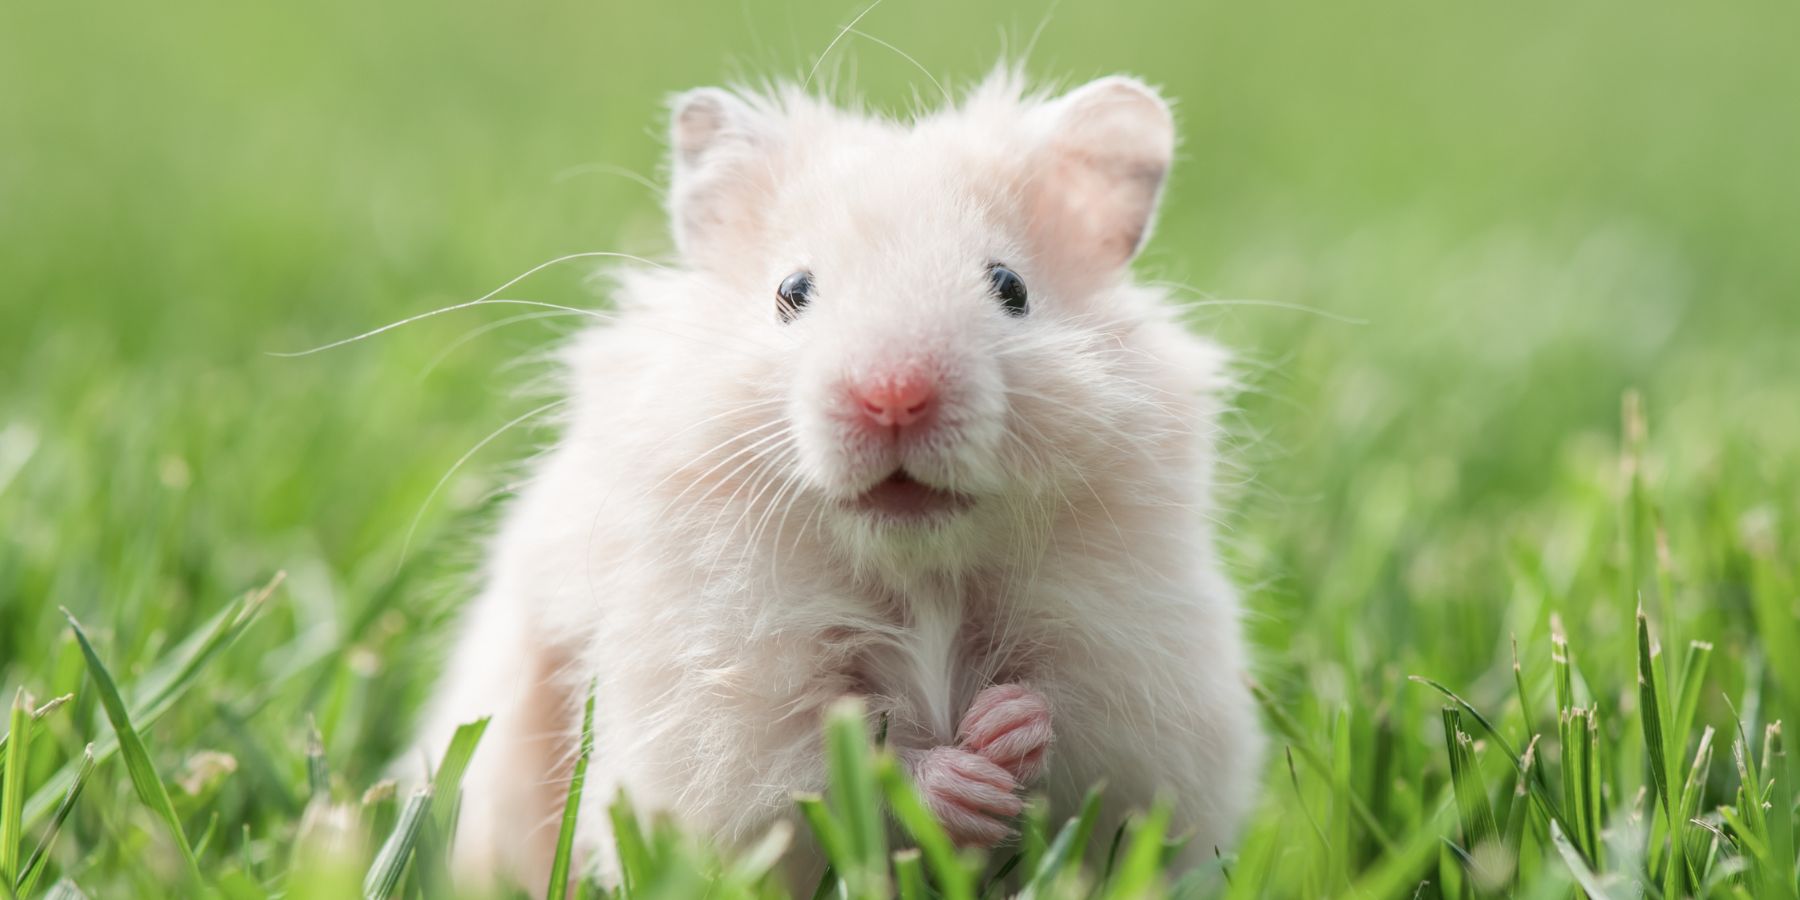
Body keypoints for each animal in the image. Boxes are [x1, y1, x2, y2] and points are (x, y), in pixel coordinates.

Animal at [415, 68, 1265, 892]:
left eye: (1010, 287)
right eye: (792, 291)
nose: (895, 395)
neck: (919, 569)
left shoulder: (1143, 682)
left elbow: (1077, 728)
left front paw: (1004, 729)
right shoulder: (722, 715)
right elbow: (833, 763)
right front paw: (962, 784)